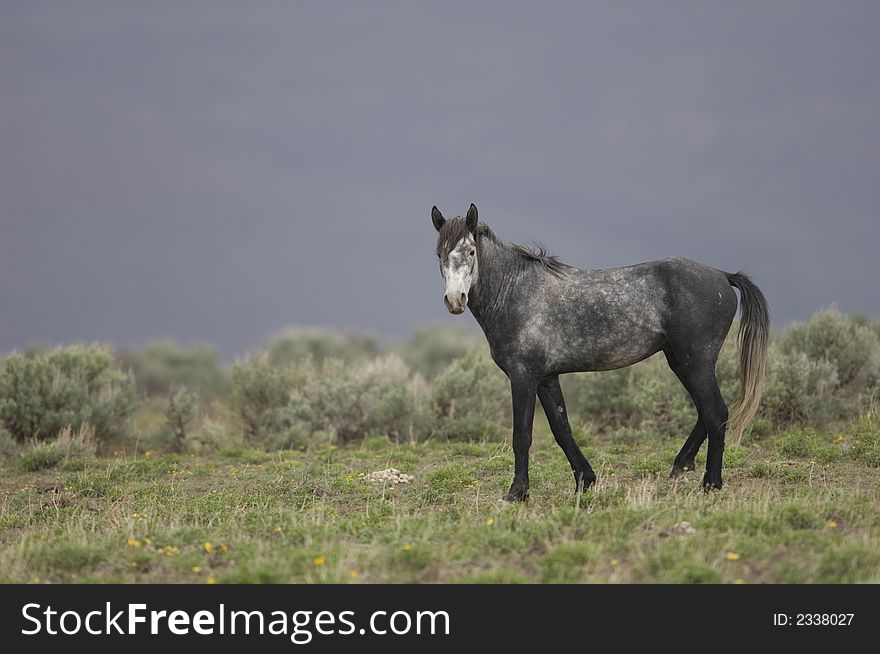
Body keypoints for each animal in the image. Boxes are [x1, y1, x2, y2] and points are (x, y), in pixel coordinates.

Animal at [430, 205, 768, 502]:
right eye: (440, 254)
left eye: (471, 252)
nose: (455, 300)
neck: (516, 292)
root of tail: (722, 276)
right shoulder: (547, 378)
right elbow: (561, 429)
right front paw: (585, 480)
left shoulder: (523, 376)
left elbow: (522, 436)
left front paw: (517, 493)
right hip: (680, 361)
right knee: (705, 413)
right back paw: (679, 467)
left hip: (696, 361)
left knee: (716, 413)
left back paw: (711, 483)